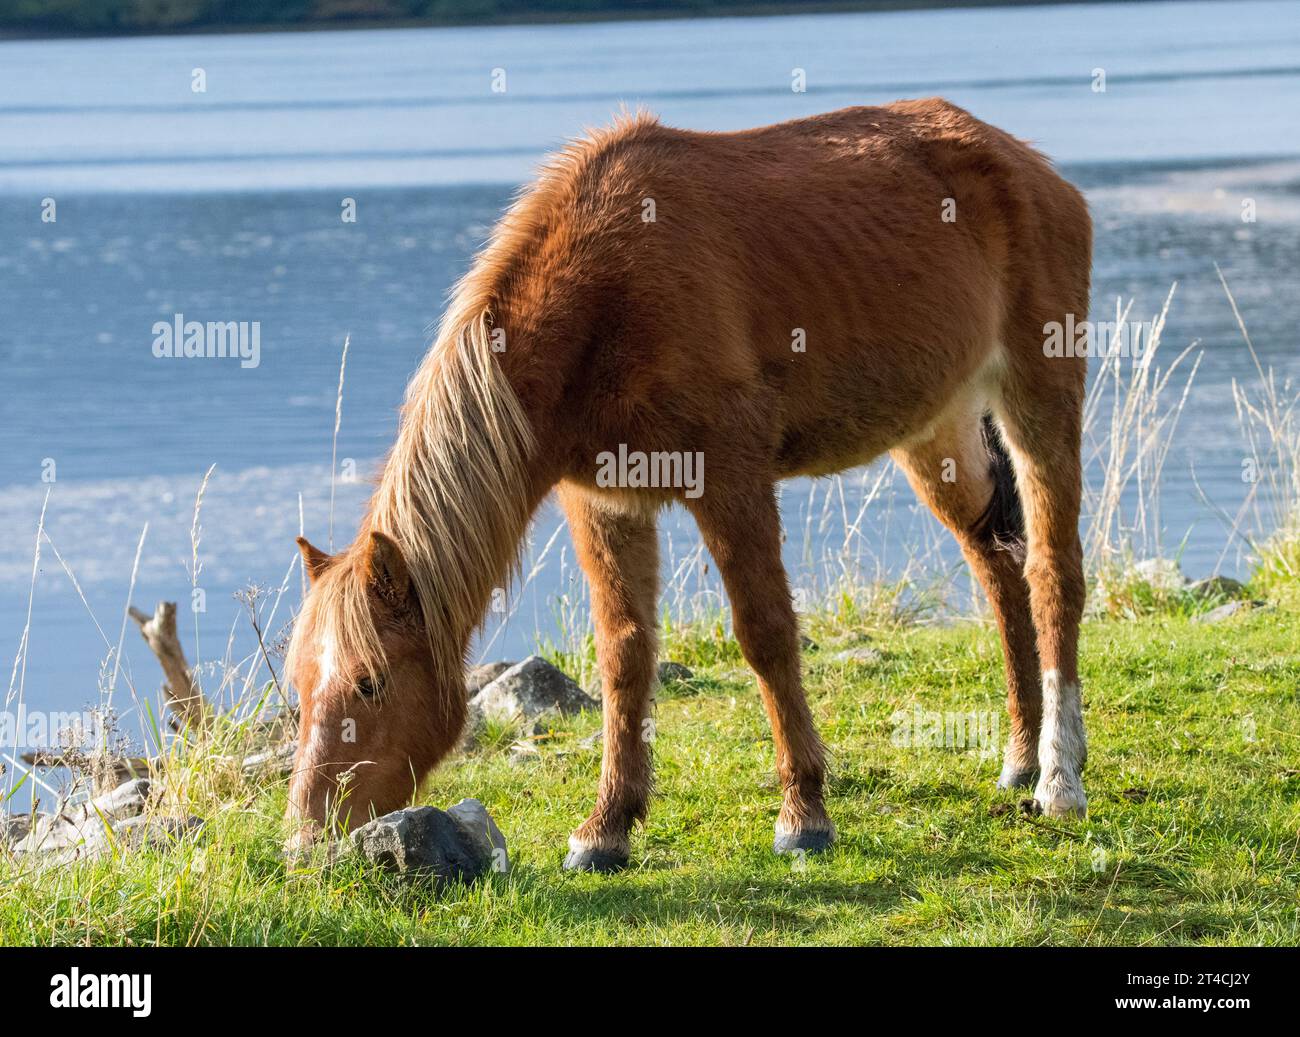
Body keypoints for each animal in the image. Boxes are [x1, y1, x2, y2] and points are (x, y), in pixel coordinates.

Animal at [289, 101, 1092, 873]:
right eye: (299, 687)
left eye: (370, 682)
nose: (303, 837)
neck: (603, 295)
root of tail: (1029, 167)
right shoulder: (606, 503)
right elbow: (624, 655)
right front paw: (607, 828)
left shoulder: (731, 479)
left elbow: (765, 633)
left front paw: (803, 814)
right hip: (939, 434)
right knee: (1000, 571)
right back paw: (1021, 757)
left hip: (1038, 402)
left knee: (1053, 573)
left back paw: (1059, 777)